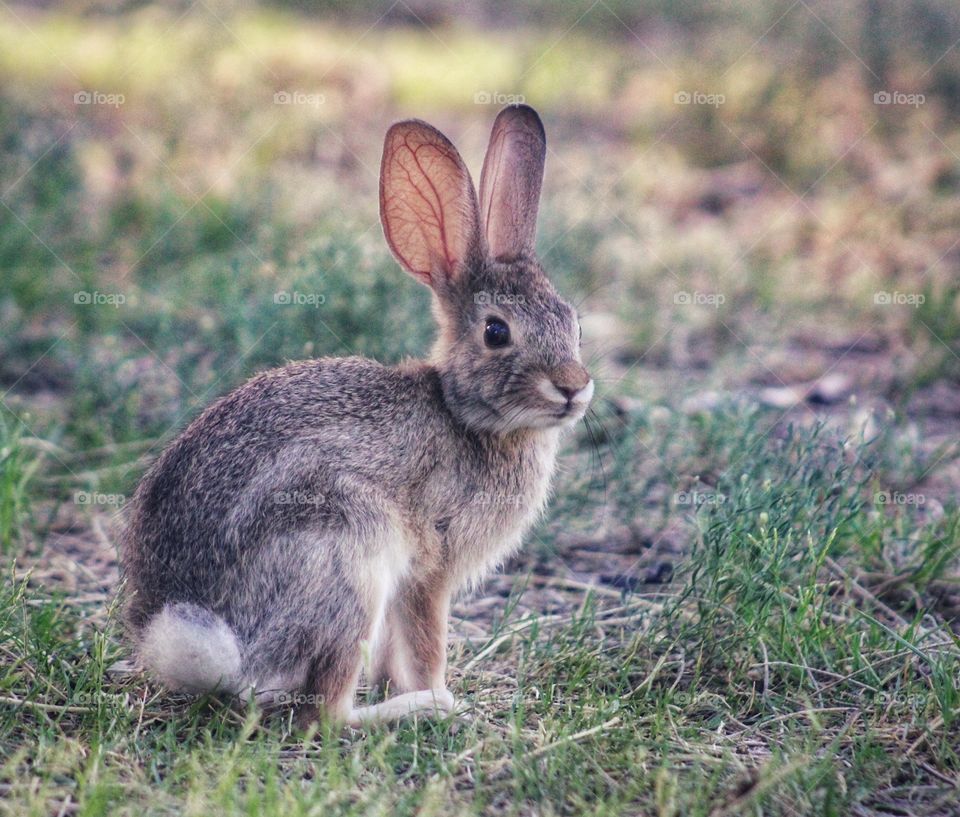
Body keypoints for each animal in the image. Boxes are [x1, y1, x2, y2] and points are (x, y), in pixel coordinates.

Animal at [120, 103, 592, 728]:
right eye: (496, 332)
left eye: (574, 323)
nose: (575, 388)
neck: (466, 415)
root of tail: (216, 650)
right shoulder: (430, 566)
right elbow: (426, 642)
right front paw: (440, 692)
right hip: (347, 552)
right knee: (327, 712)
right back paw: (420, 707)